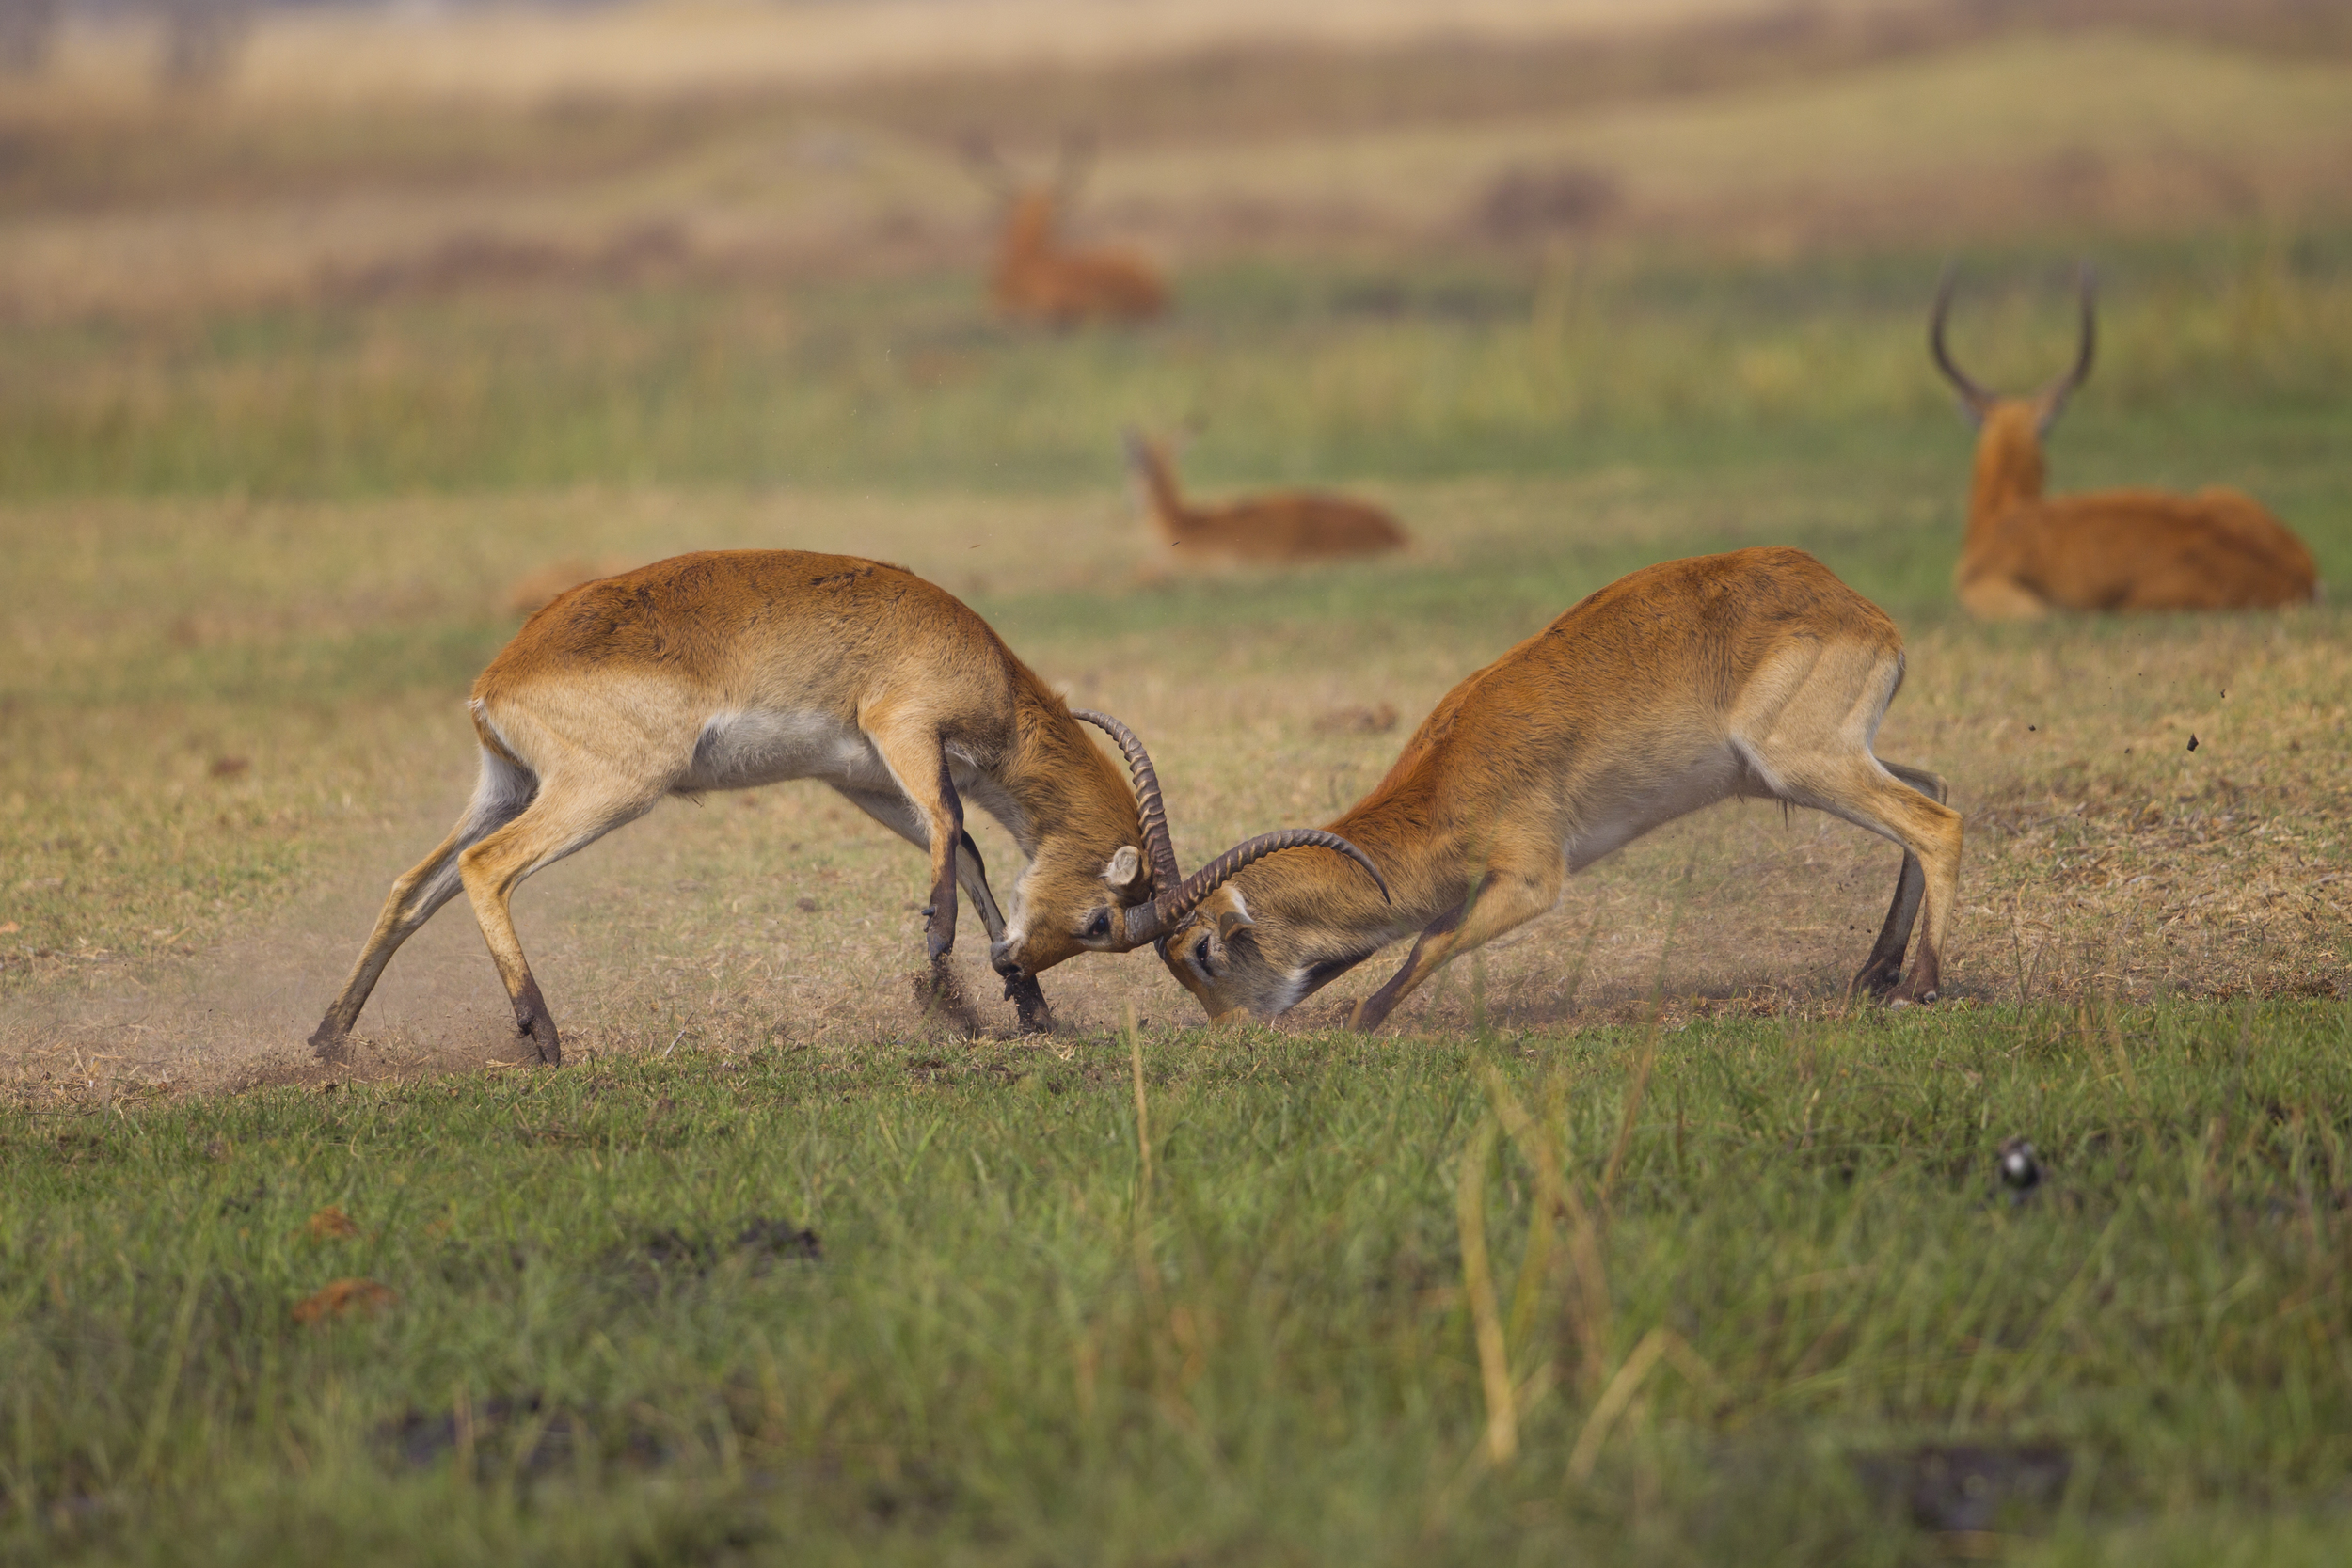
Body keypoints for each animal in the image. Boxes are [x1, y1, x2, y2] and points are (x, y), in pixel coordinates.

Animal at [301, 552, 1374, 1067]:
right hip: (604, 792)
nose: (1020, 962)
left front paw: (1017, 1005)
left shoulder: (860, 778)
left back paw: (329, 1038)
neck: (986, 670)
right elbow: (951, 835)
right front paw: (947, 983)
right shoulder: (903, 730)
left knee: (413, 884)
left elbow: (970, 849)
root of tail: (500, 675)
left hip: (505, 784)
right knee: (483, 870)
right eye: (1105, 921)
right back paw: (544, 1038)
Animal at [1105, 549, 1966, 1029]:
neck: (1443, 789)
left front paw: (1363, 1019)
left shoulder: (1531, 877)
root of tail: (1858, 608)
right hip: (1798, 768)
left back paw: (1919, 989)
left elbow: (1430, 940)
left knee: (1938, 822)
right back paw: (1873, 974)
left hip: (1800, 764)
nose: (1228, 1034)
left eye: (1203, 952)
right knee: (1934, 785)